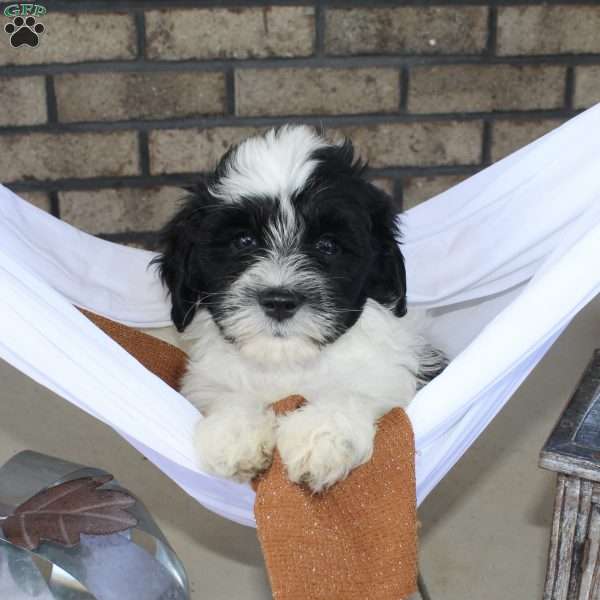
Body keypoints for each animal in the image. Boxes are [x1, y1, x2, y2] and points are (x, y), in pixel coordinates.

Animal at [157, 125, 442, 492]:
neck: (288, 362)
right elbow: (226, 394)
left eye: (328, 245)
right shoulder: (207, 381)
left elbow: (352, 390)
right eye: (243, 241)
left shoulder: (388, 374)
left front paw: (319, 437)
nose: (280, 301)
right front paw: (235, 434)